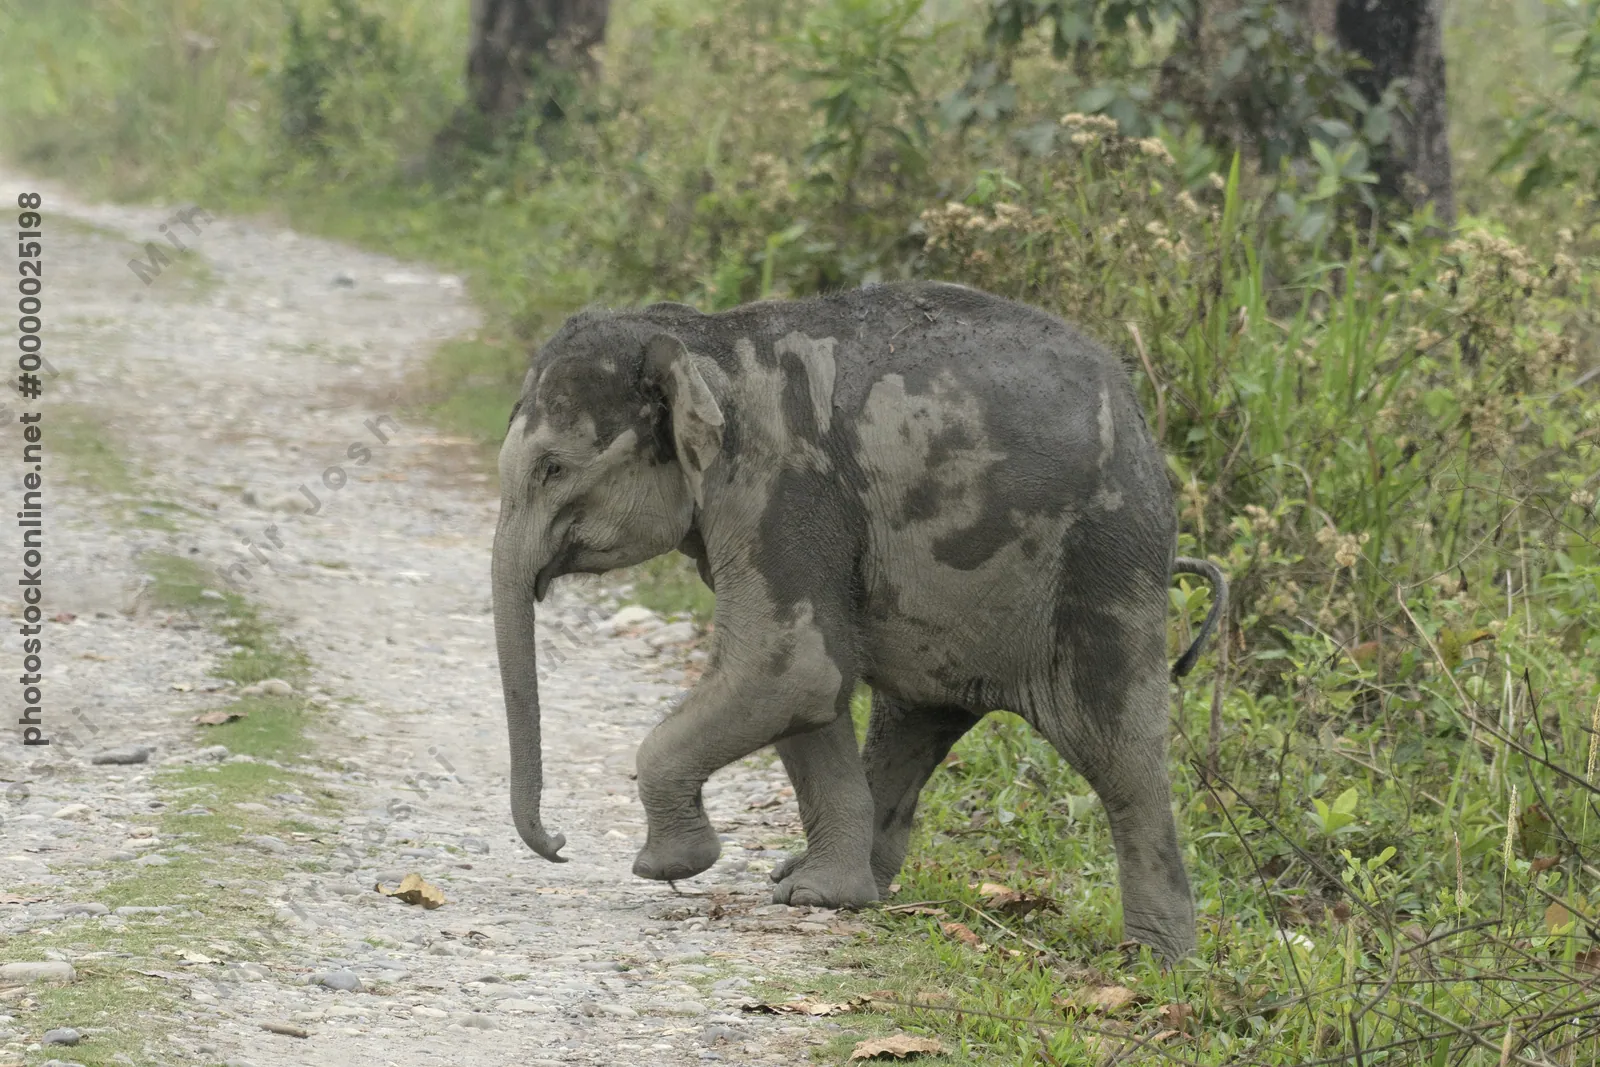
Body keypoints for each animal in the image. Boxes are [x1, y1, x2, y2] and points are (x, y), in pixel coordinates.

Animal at [492, 280, 1226, 962]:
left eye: (553, 468)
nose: (559, 843)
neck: (706, 341)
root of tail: (1139, 415)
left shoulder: (783, 487)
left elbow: (790, 669)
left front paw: (671, 867)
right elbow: (805, 687)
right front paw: (817, 898)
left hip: (1106, 558)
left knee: (1118, 752)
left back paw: (1156, 961)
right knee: (915, 721)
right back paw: (830, 881)